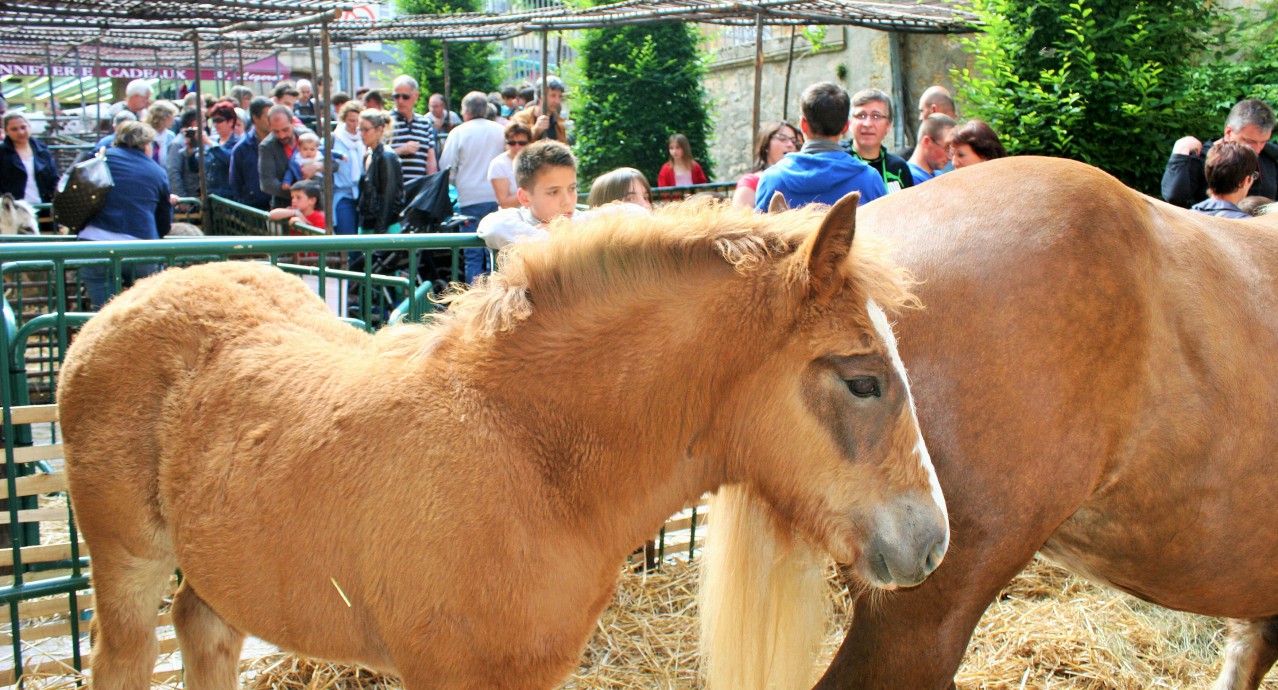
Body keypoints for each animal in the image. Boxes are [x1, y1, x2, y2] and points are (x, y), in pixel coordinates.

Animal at [57, 194, 950, 690]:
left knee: (203, 630)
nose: (933, 542)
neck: (528, 452)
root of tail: (126, 299)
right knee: (122, 656)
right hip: (126, 559)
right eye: (864, 380)